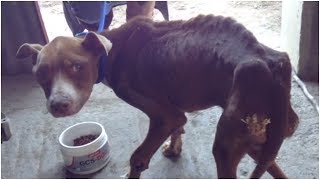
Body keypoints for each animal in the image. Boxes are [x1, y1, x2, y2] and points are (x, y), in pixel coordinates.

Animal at [16, 14, 298, 178]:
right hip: (258, 140)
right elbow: (179, 128)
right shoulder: (176, 113)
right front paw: (174, 149)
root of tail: (271, 63)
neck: (110, 50)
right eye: (40, 73)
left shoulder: (165, 116)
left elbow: (138, 158)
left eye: (77, 66)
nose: (58, 105)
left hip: (228, 146)